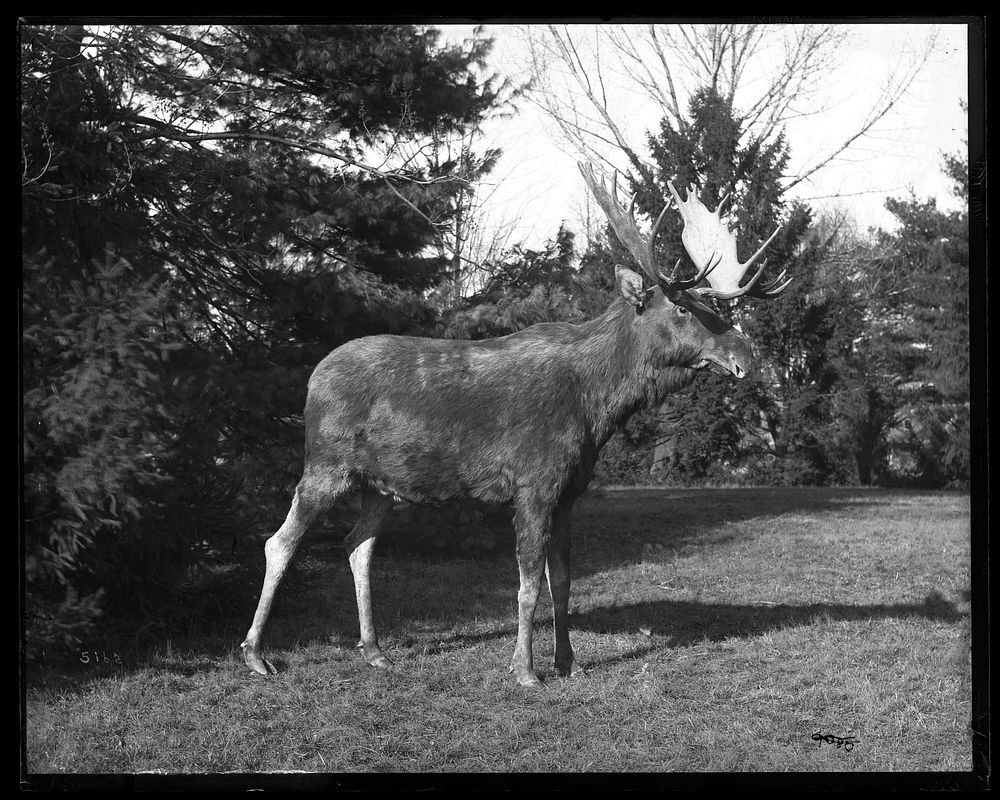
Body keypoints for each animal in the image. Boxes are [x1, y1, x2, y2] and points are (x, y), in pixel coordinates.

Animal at [242, 162, 788, 688]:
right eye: (680, 306)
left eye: (711, 305)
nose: (746, 354)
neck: (599, 409)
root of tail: (312, 380)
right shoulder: (533, 483)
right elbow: (527, 586)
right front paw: (525, 669)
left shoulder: (569, 491)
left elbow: (561, 582)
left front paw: (568, 662)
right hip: (325, 464)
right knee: (279, 542)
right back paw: (255, 654)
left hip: (380, 483)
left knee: (358, 546)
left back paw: (374, 650)